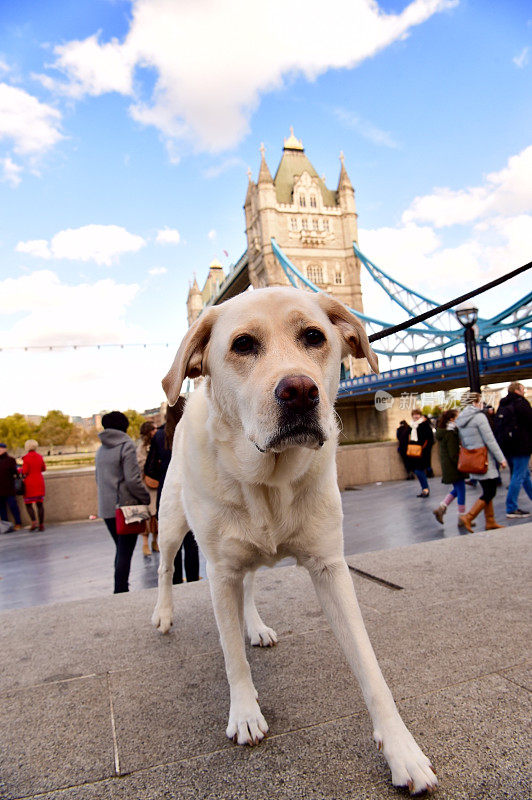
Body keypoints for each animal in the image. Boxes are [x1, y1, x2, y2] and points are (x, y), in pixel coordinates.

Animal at [153, 288, 436, 792]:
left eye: (314, 337)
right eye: (243, 344)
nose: (301, 391)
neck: (268, 480)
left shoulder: (330, 568)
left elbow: (370, 667)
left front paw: (402, 749)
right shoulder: (218, 572)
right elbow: (232, 656)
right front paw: (245, 712)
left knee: (248, 586)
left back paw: (254, 625)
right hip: (171, 525)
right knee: (167, 567)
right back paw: (164, 613)